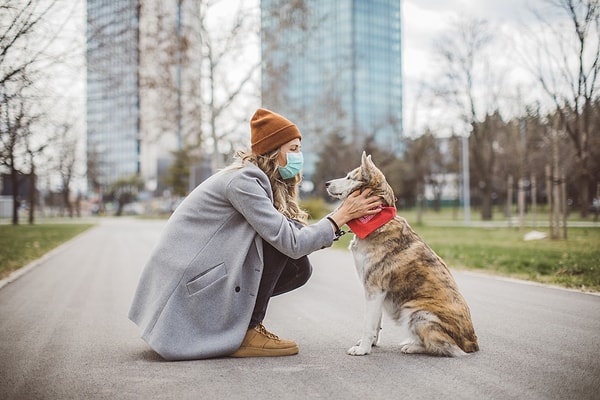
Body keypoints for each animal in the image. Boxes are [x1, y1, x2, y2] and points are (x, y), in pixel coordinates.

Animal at [326, 152, 480, 356]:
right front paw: (371, 344)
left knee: (443, 347)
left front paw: (363, 349)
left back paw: (412, 346)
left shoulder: (374, 289)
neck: (376, 220)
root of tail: (473, 344)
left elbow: (368, 325)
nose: (326, 183)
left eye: (350, 177)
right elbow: (376, 324)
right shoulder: (377, 294)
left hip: (417, 313)